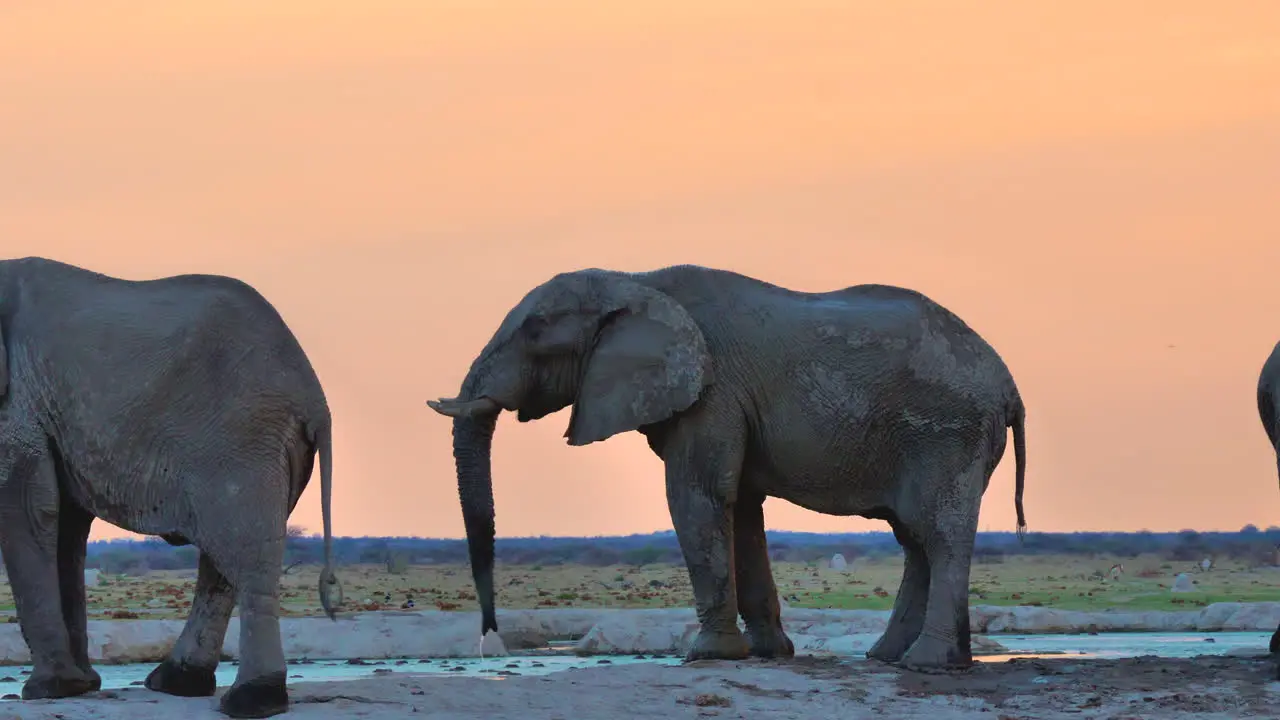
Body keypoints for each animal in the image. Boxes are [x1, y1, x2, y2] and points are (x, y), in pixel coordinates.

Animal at [0, 257, 340, 717]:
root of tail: (316, 397)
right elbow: (65, 523)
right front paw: (80, 687)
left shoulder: (14, 404)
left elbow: (27, 508)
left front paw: (49, 689)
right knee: (224, 561)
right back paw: (179, 682)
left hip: (242, 437)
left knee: (246, 554)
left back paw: (251, 700)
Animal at [430, 266, 1029, 671]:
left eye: (535, 331)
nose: (489, 637)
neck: (635, 281)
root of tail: (1008, 384)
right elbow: (739, 507)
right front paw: (768, 654)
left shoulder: (712, 393)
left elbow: (697, 496)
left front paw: (708, 656)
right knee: (915, 539)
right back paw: (889, 658)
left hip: (947, 432)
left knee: (938, 533)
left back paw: (926, 663)